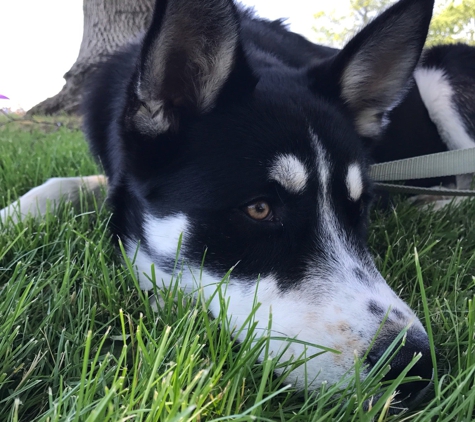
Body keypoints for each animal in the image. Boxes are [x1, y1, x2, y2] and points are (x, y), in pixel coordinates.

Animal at [3, 0, 475, 410]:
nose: (414, 365)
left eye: (359, 209)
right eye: (260, 209)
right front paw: (13, 215)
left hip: (442, 74)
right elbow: (61, 184)